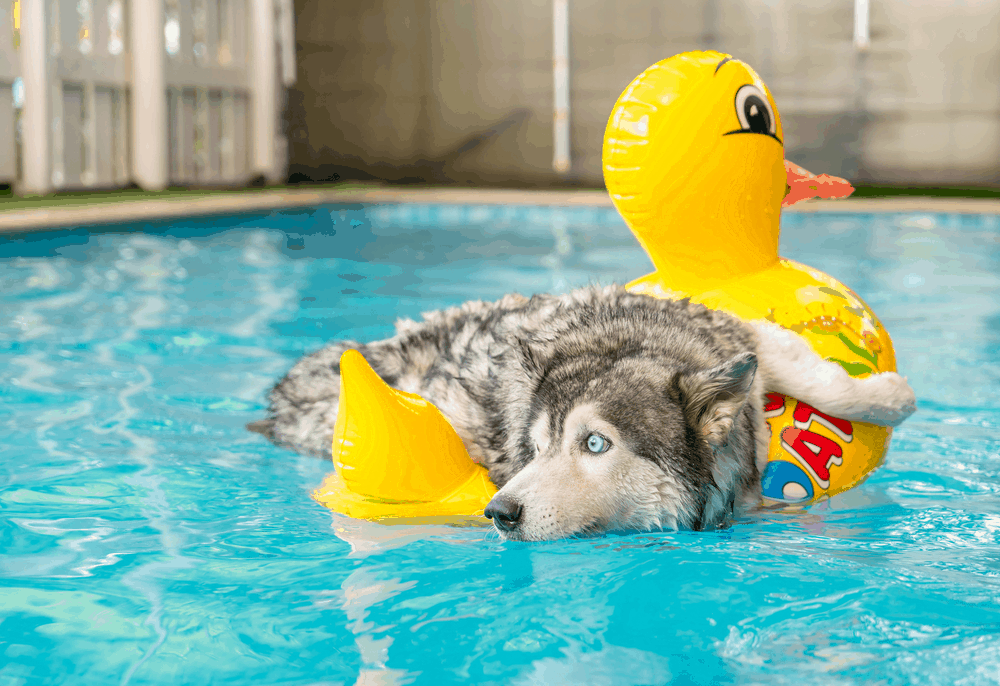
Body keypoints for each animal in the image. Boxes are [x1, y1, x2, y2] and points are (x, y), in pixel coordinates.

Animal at [250, 286, 916, 544]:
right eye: (537, 446)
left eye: (595, 444)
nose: (499, 513)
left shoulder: (740, 337)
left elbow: (816, 379)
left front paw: (892, 396)